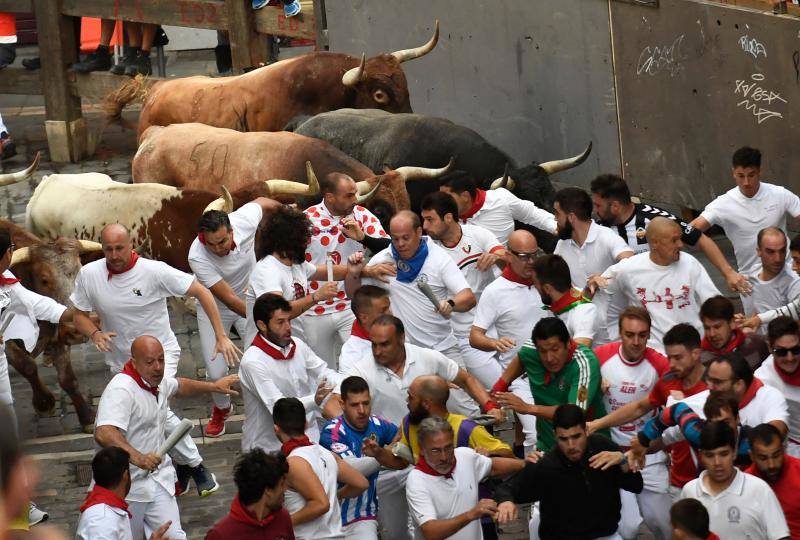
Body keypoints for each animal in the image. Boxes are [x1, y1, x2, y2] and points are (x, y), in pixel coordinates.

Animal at [1, 218, 103, 430]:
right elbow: (27, 366)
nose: (76, 330)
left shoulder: (58, 336)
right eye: (44, 280)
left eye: (80, 274)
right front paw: (44, 402)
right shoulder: (6, 342)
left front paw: (87, 416)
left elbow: (67, 379)